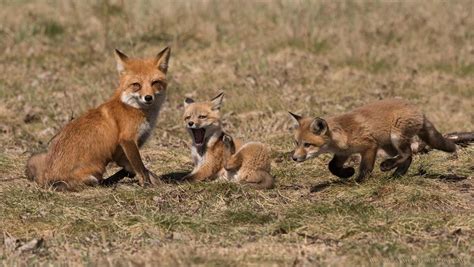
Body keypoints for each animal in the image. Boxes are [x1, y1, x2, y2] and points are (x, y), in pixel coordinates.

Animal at [288, 99, 456, 183]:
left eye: (307, 145)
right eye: (296, 143)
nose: (294, 158)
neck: (342, 135)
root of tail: (419, 111)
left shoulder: (370, 146)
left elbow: (366, 168)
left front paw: (359, 182)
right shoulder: (343, 153)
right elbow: (332, 166)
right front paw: (347, 173)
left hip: (396, 138)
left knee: (407, 153)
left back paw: (387, 166)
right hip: (389, 146)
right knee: (409, 157)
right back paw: (397, 174)